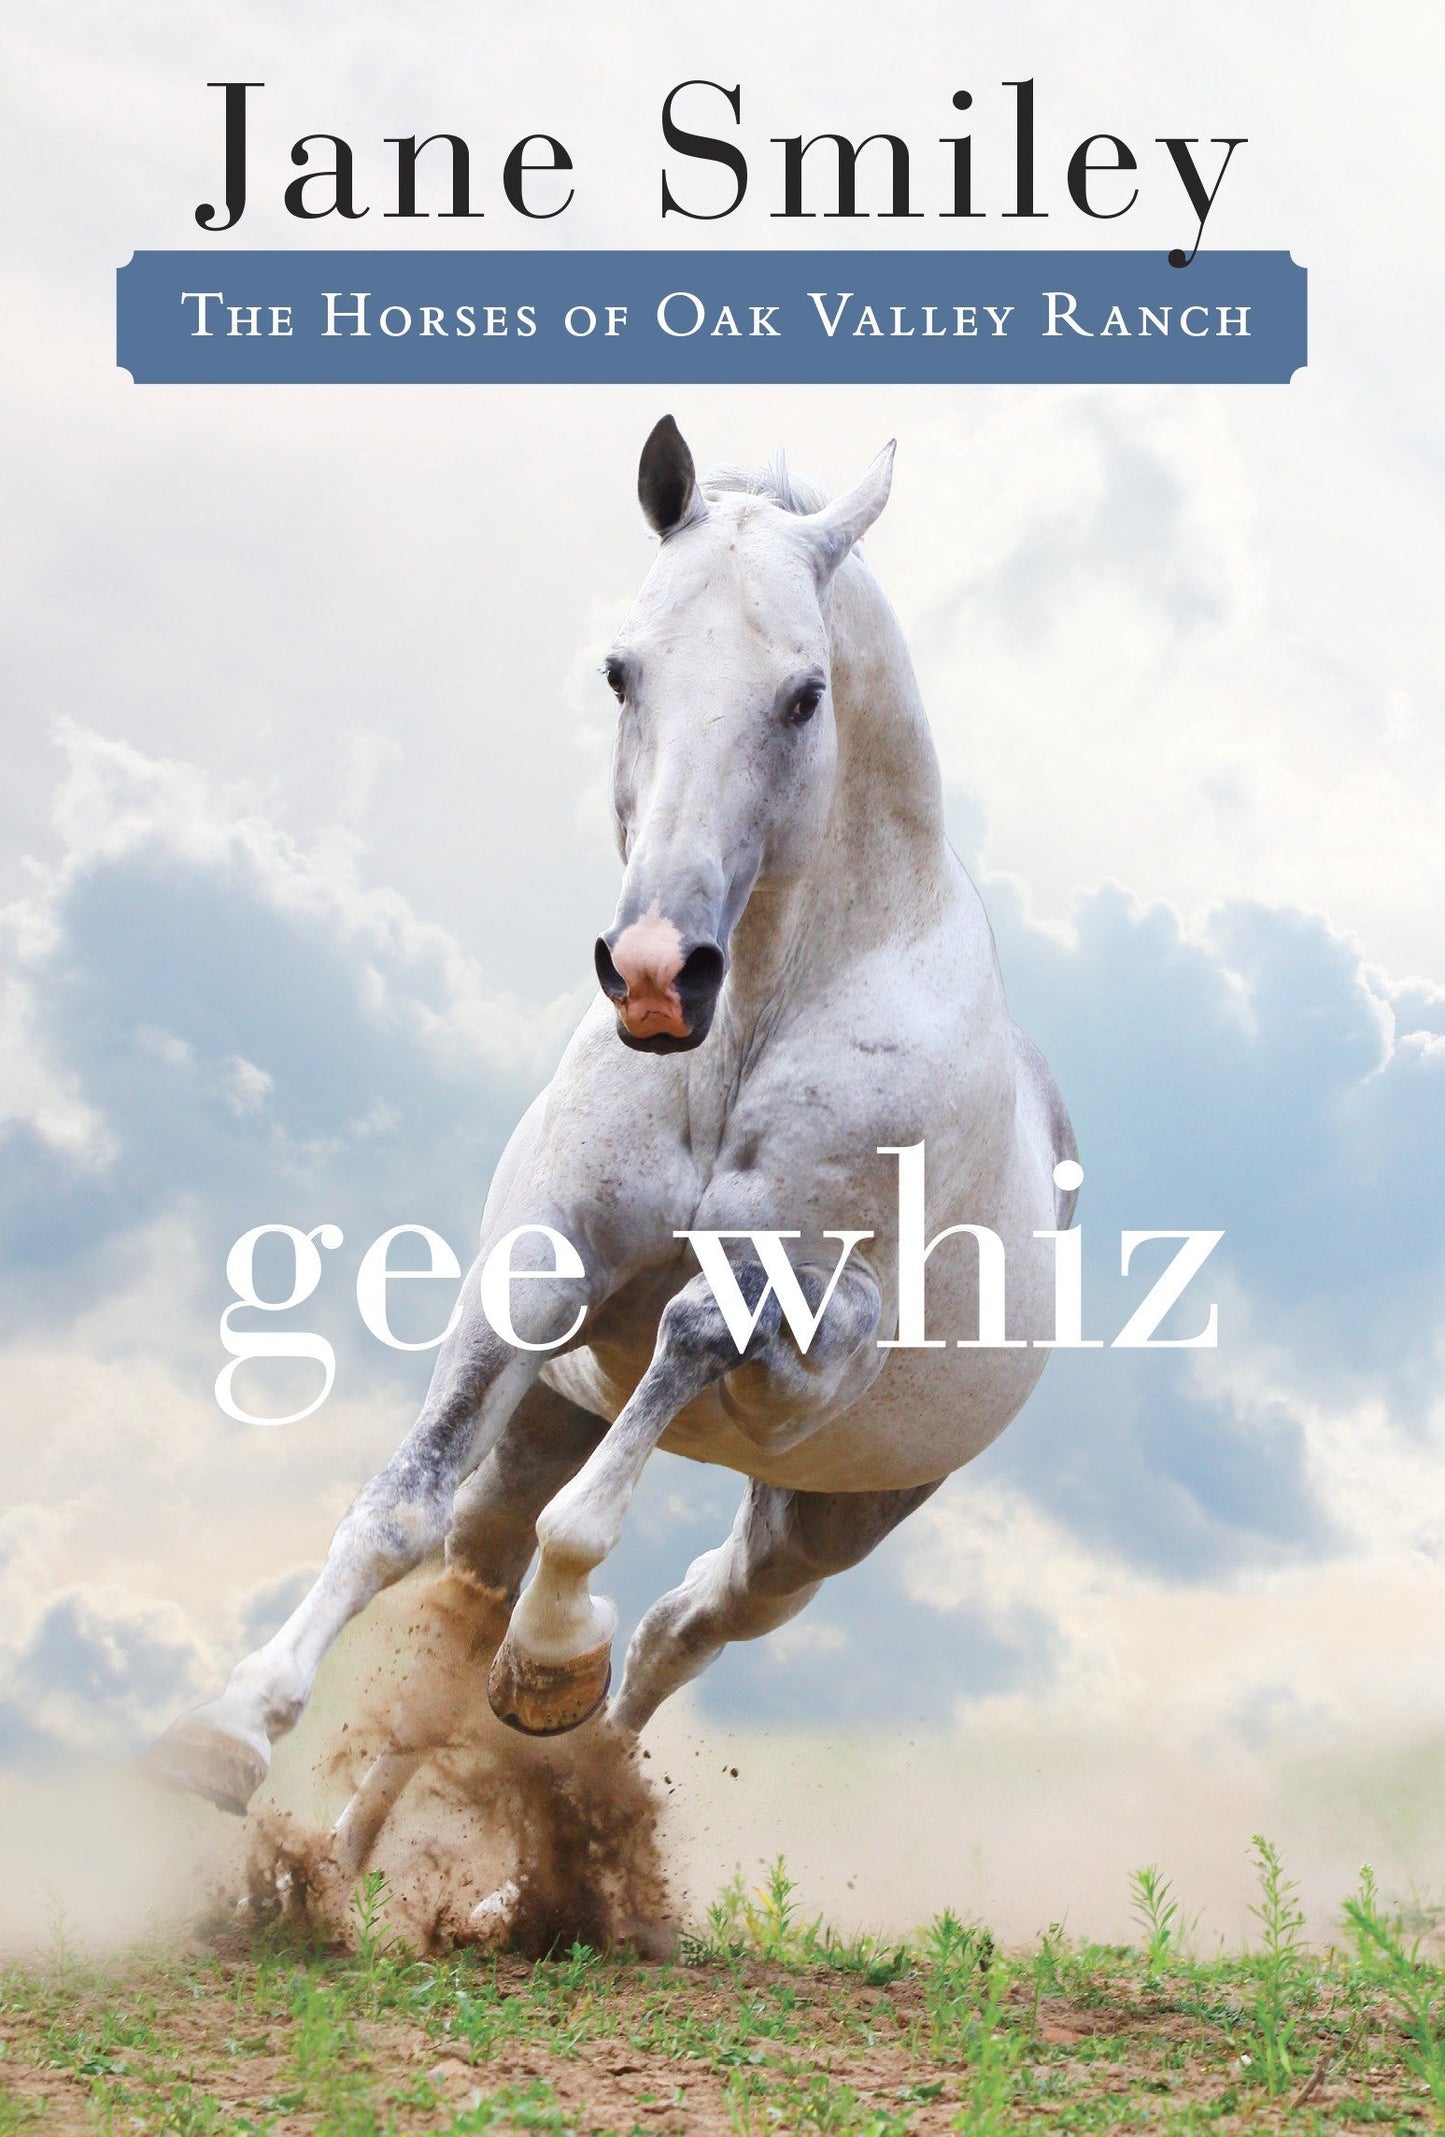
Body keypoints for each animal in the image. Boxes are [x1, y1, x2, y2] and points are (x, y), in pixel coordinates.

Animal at [144, 417, 1076, 1893]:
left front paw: (550, 1661)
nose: (653, 973)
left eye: (804, 694)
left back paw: (548, 1778)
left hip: (822, 1528)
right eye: (620, 668)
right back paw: (348, 1859)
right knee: (472, 1581)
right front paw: (226, 1731)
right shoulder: (534, 1273)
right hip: (549, 1419)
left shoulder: (802, 1333)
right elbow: (398, 1510)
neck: (746, 1026)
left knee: (678, 1631)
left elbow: (655, 1411)